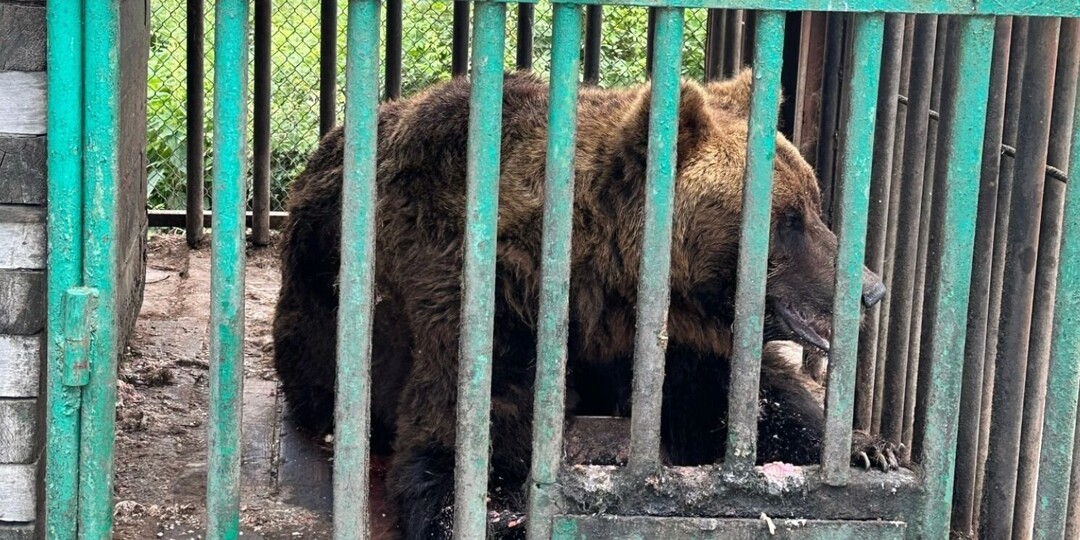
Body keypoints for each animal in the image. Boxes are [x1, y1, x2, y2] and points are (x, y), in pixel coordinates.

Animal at [271, 68, 900, 540]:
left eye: (814, 203)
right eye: (788, 220)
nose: (871, 290)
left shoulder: (667, 336)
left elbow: (744, 398)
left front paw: (869, 449)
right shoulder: (475, 298)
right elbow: (461, 439)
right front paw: (497, 511)